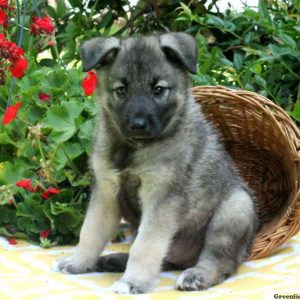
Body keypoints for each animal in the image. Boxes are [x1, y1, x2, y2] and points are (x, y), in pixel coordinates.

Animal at [55, 32, 260, 292]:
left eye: (159, 90)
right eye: (121, 90)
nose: (138, 125)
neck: (133, 148)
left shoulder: (161, 197)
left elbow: (146, 245)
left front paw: (133, 281)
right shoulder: (106, 192)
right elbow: (90, 231)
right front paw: (78, 262)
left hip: (235, 208)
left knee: (221, 261)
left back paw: (197, 275)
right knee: (165, 260)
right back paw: (115, 260)